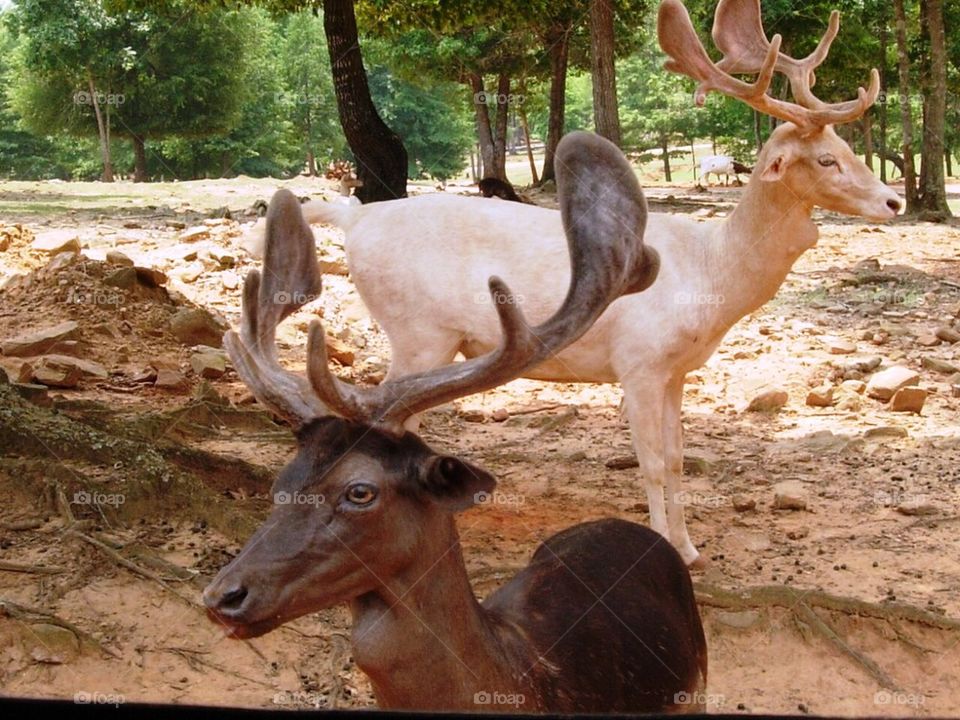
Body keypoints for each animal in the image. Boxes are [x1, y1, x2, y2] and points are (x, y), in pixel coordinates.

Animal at [239, 0, 902, 569]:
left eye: (846, 145)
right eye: (825, 160)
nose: (893, 201)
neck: (711, 275)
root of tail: (354, 217)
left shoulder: (676, 370)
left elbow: (679, 460)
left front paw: (691, 549)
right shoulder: (638, 361)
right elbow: (652, 463)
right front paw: (669, 548)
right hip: (418, 331)